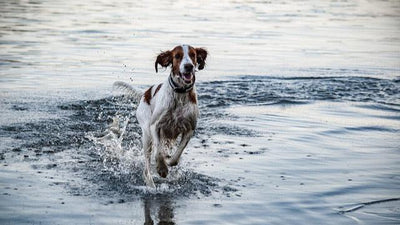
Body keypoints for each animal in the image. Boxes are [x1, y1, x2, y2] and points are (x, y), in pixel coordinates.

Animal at [112, 44, 206, 188]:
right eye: (177, 56)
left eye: (193, 55)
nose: (188, 66)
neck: (179, 95)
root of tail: (145, 93)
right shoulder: (155, 126)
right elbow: (158, 152)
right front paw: (162, 168)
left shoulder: (189, 129)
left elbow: (176, 155)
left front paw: (168, 162)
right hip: (146, 135)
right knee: (146, 166)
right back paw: (150, 183)